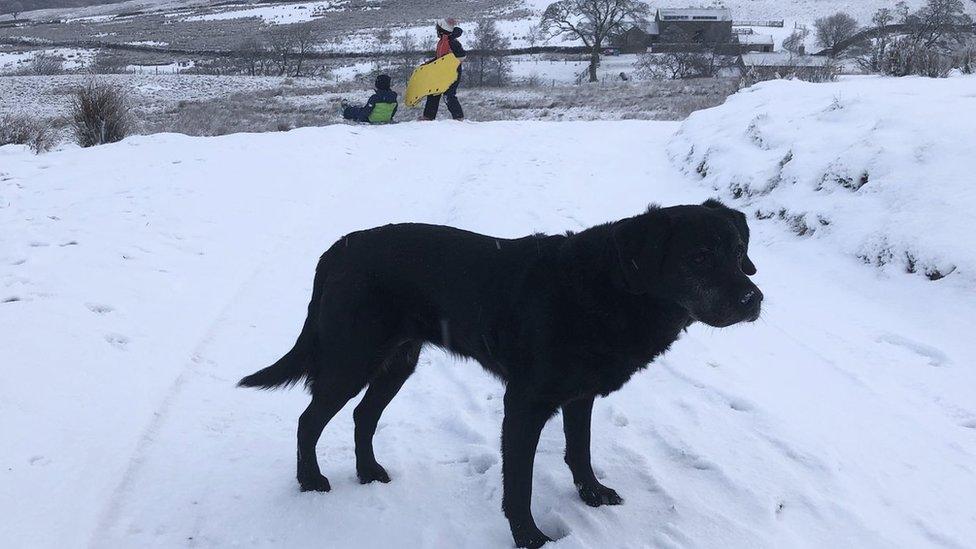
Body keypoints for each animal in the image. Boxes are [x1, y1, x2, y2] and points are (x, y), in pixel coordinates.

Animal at [240, 199, 760, 544]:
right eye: (699, 257)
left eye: (738, 251)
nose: (753, 299)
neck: (615, 288)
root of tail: (337, 251)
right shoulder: (525, 402)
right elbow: (520, 483)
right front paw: (530, 538)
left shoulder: (579, 395)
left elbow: (580, 451)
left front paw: (592, 495)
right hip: (353, 358)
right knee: (309, 420)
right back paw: (311, 481)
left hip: (397, 361)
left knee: (362, 416)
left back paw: (368, 471)